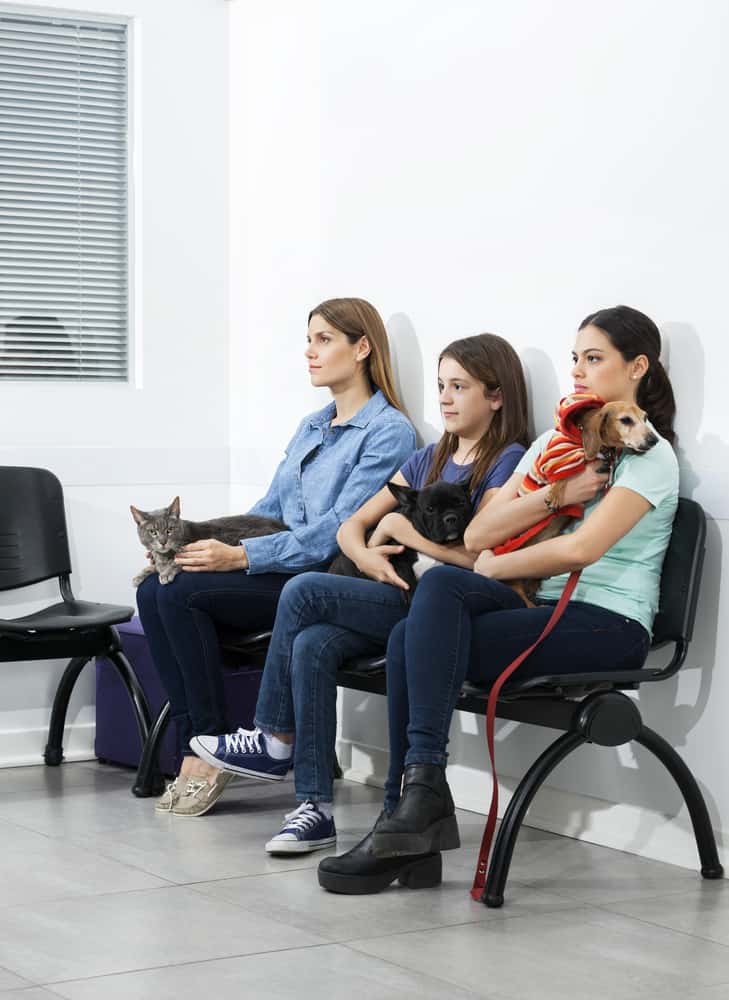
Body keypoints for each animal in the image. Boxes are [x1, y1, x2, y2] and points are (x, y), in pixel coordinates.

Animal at [129, 498, 288, 584]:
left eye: (170, 530)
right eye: (153, 532)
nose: (163, 542)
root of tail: (285, 527)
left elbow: (177, 562)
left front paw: (166, 572)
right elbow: (156, 565)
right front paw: (141, 574)